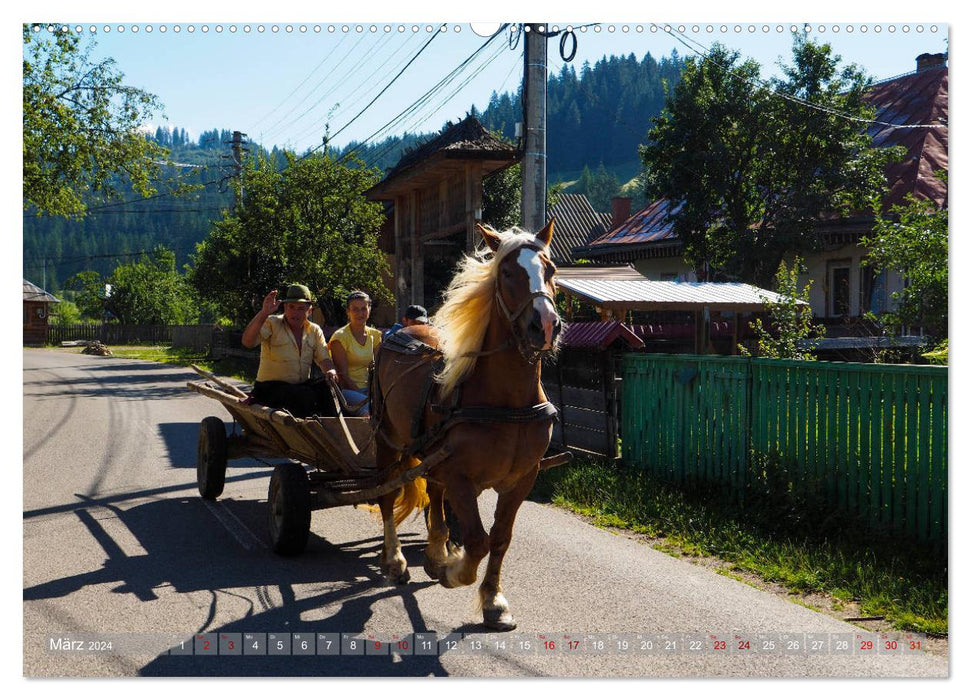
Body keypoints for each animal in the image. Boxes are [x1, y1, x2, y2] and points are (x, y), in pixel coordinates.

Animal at [374, 219, 568, 628]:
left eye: (551, 269)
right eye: (507, 273)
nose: (545, 326)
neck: (507, 402)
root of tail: (400, 330)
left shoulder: (522, 479)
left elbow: (500, 538)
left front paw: (493, 599)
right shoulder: (461, 477)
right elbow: (477, 540)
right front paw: (456, 572)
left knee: (434, 495)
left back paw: (434, 554)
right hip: (386, 439)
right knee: (386, 496)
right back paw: (396, 559)